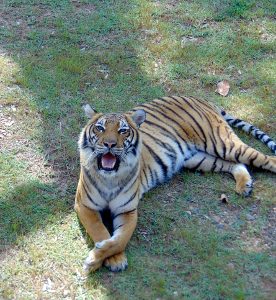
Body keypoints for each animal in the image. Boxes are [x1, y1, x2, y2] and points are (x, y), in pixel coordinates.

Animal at [74, 95, 276, 272]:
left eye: (122, 131)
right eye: (100, 128)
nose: (109, 144)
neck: (110, 177)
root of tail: (200, 98)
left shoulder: (128, 210)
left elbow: (120, 239)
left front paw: (102, 258)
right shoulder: (85, 205)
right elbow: (100, 230)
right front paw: (108, 259)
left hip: (223, 144)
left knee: (264, 158)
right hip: (200, 159)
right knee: (235, 164)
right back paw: (244, 185)